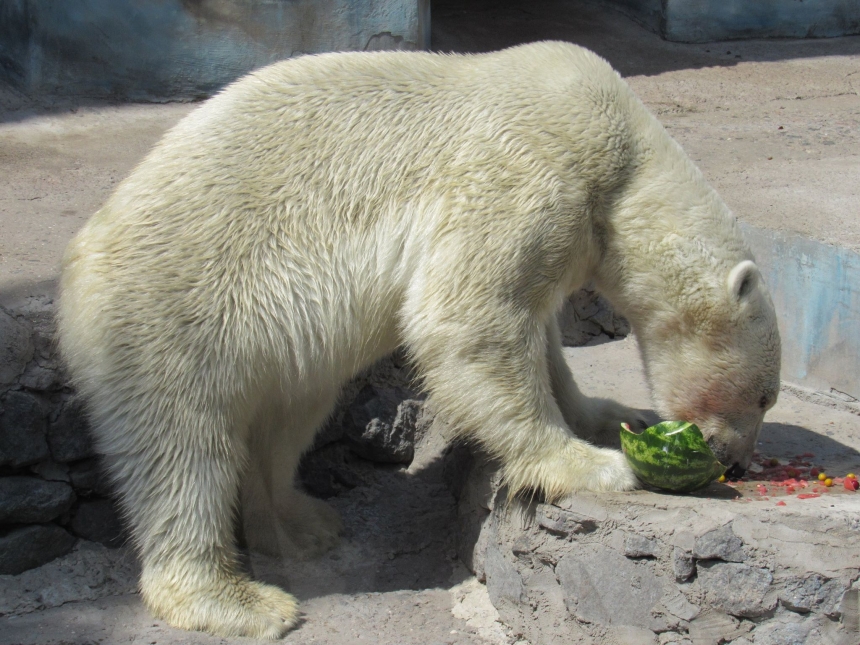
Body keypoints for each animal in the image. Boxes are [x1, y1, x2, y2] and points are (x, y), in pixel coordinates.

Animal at [57, 42, 784, 636]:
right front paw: (593, 463)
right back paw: (239, 600)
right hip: (172, 314)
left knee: (283, 420)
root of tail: (75, 271)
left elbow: (537, 331)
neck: (623, 155)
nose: (735, 458)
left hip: (267, 349)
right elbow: (468, 314)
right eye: (764, 396)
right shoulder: (528, 166)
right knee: (182, 452)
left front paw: (607, 415)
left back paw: (301, 522)